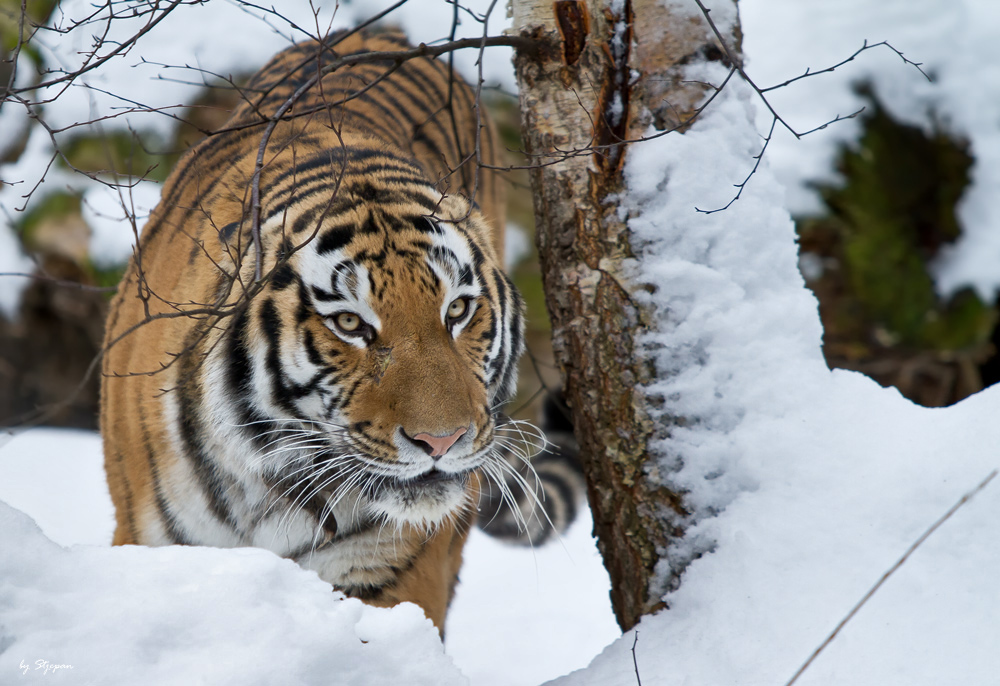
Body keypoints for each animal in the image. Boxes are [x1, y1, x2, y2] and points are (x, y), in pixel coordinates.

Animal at [97, 28, 584, 640]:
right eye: (350, 323)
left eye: (457, 310)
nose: (442, 442)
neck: (268, 487)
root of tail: (385, 33)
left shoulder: (391, 575)